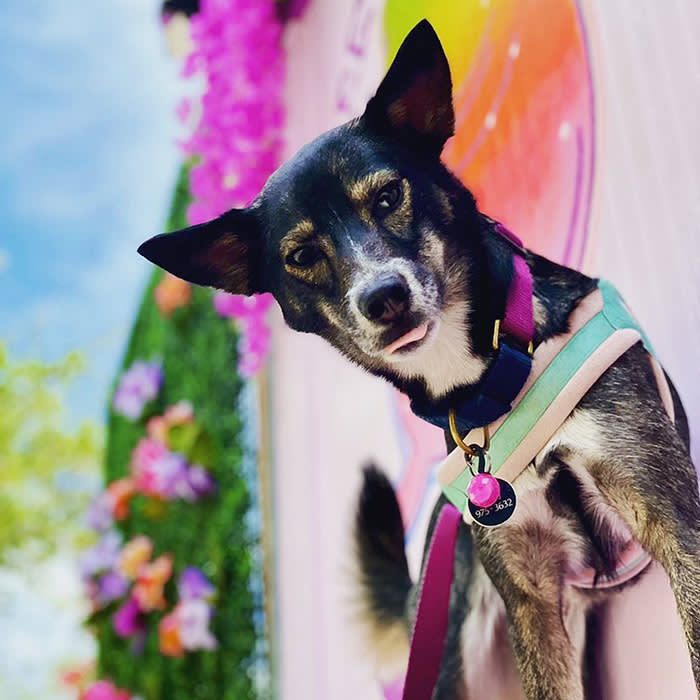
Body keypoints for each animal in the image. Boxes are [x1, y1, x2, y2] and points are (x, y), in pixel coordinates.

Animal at [138, 19, 700, 696]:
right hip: (453, 648)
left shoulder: (673, 520)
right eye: (301, 256)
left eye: (387, 196)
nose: (383, 297)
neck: (490, 381)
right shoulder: (532, 597)